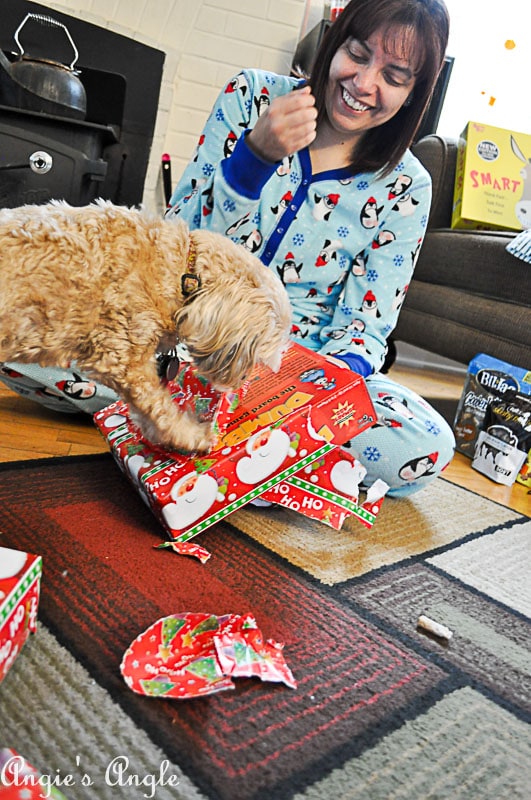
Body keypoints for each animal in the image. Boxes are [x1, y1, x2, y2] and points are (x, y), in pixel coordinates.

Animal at [0, 199, 290, 450]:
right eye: (255, 356)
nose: (241, 382)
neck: (181, 267)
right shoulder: (125, 359)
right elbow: (159, 406)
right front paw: (193, 436)